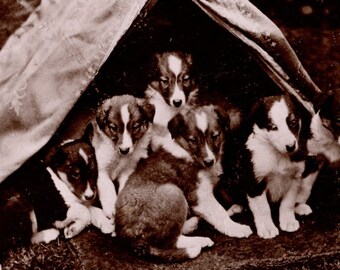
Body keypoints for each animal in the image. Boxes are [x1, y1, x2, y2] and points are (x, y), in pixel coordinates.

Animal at [90, 95, 154, 224]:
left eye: (135, 127)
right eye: (113, 128)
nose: (124, 150)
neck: (119, 156)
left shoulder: (129, 170)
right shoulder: (101, 168)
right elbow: (107, 186)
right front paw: (110, 207)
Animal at [115, 104, 251, 262]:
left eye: (215, 136)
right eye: (193, 140)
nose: (209, 161)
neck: (186, 151)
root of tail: (128, 238)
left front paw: (234, 208)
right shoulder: (199, 196)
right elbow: (219, 211)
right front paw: (237, 228)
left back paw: (194, 223)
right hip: (173, 192)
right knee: (170, 240)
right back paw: (201, 240)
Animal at [242, 95, 306, 238]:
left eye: (293, 122)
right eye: (273, 127)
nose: (291, 147)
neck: (277, 153)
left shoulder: (295, 178)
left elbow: (288, 202)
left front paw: (288, 221)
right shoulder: (256, 183)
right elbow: (263, 208)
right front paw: (267, 228)